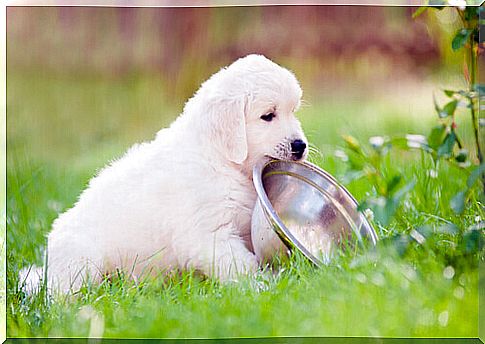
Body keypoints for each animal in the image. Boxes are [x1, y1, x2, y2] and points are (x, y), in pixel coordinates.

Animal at [21, 54, 306, 292]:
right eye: (268, 116)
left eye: (294, 111)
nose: (300, 146)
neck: (220, 159)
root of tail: (47, 271)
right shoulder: (209, 234)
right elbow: (241, 264)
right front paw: (263, 285)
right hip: (82, 261)